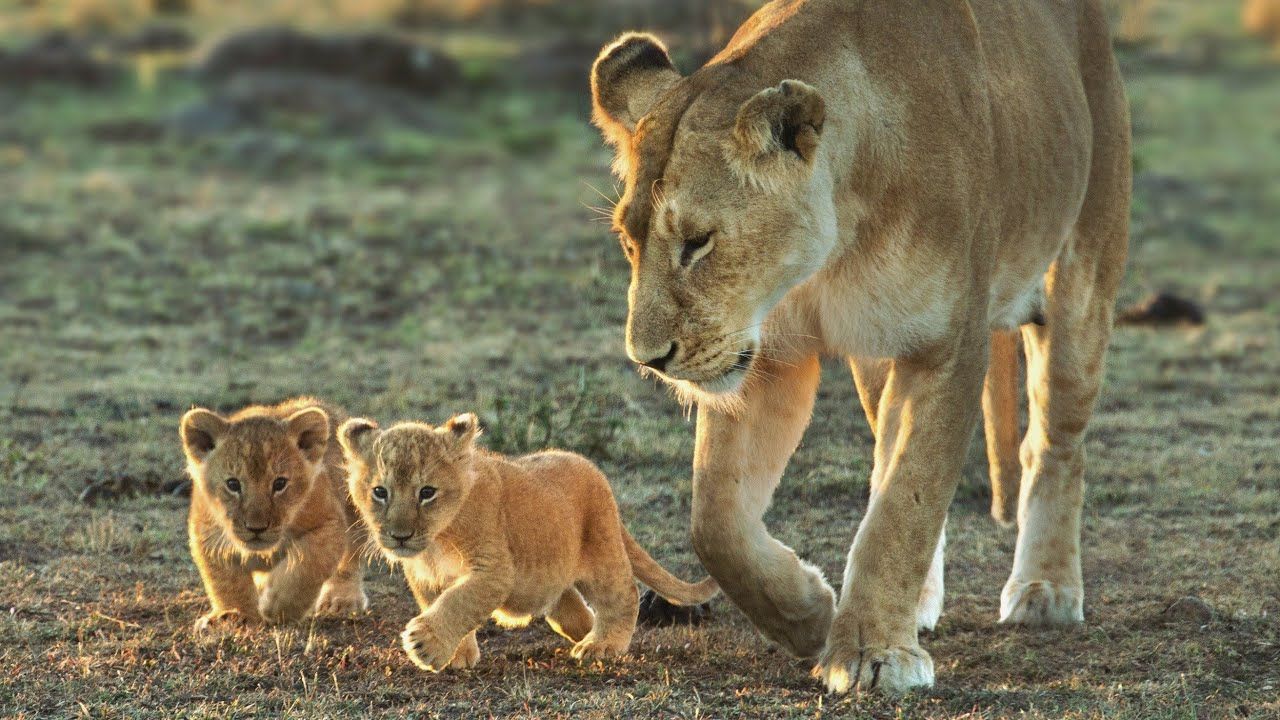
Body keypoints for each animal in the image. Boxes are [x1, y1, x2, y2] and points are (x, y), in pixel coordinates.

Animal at [180, 397, 368, 631]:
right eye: (233, 484)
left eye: (280, 483)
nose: (256, 528)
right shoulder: (208, 534)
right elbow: (225, 581)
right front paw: (234, 614)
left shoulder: (328, 524)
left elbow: (308, 565)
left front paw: (277, 607)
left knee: (351, 557)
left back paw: (341, 599)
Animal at [336, 413, 718, 671]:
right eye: (380, 492)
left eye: (426, 492)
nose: (400, 536)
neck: (435, 542)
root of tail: (593, 468)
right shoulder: (425, 577)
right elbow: (440, 602)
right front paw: (457, 654)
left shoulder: (495, 569)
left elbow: (460, 601)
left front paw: (425, 645)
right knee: (571, 608)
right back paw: (585, 632)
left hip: (603, 552)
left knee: (624, 595)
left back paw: (601, 645)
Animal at [589, 0, 1129, 695]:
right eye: (628, 241)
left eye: (699, 242)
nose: (647, 358)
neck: (834, 243)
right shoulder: (767, 357)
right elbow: (717, 522)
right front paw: (812, 614)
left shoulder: (946, 346)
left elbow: (906, 503)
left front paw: (874, 651)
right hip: (875, 356)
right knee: (882, 451)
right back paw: (913, 600)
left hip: (1082, 275)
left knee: (1054, 441)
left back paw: (1047, 588)